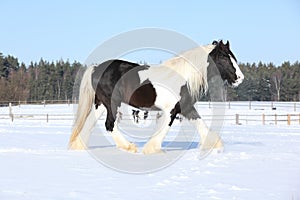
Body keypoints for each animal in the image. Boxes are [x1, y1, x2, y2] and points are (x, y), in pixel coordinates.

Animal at [69, 39, 245, 154]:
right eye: (224, 57)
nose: (240, 78)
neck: (183, 77)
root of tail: (96, 68)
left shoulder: (186, 108)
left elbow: (200, 124)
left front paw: (216, 145)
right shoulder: (172, 110)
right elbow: (164, 129)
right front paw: (151, 149)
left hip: (100, 103)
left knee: (90, 123)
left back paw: (78, 146)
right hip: (112, 103)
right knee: (110, 125)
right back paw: (129, 147)